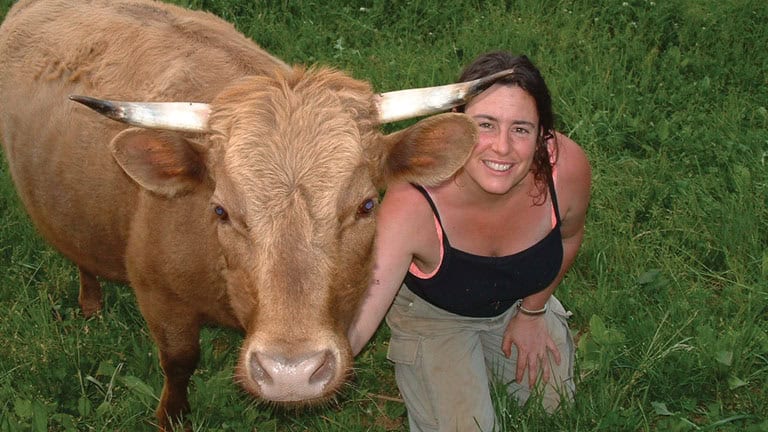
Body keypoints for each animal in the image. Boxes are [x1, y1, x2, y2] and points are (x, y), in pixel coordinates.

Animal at [0, 0, 512, 429]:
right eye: (220, 210)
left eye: (367, 205)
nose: (291, 373)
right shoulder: (159, 297)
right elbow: (179, 361)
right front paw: (172, 417)